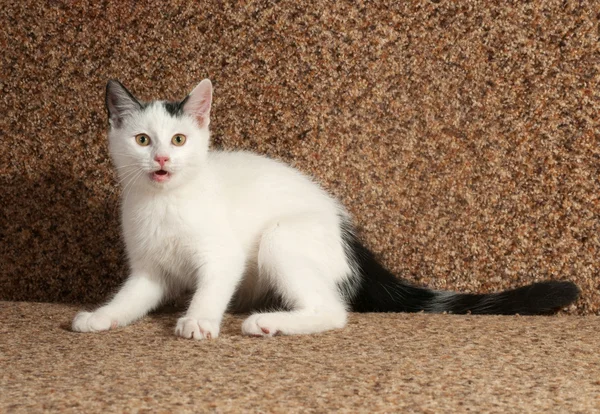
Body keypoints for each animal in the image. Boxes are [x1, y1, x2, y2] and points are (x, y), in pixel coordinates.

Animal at [72, 81, 580, 340]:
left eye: (179, 139)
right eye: (142, 139)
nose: (161, 159)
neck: (165, 201)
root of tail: (350, 240)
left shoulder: (223, 255)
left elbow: (213, 285)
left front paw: (198, 320)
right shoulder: (150, 270)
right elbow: (132, 296)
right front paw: (102, 315)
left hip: (282, 235)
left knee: (334, 311)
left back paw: (270, 322)